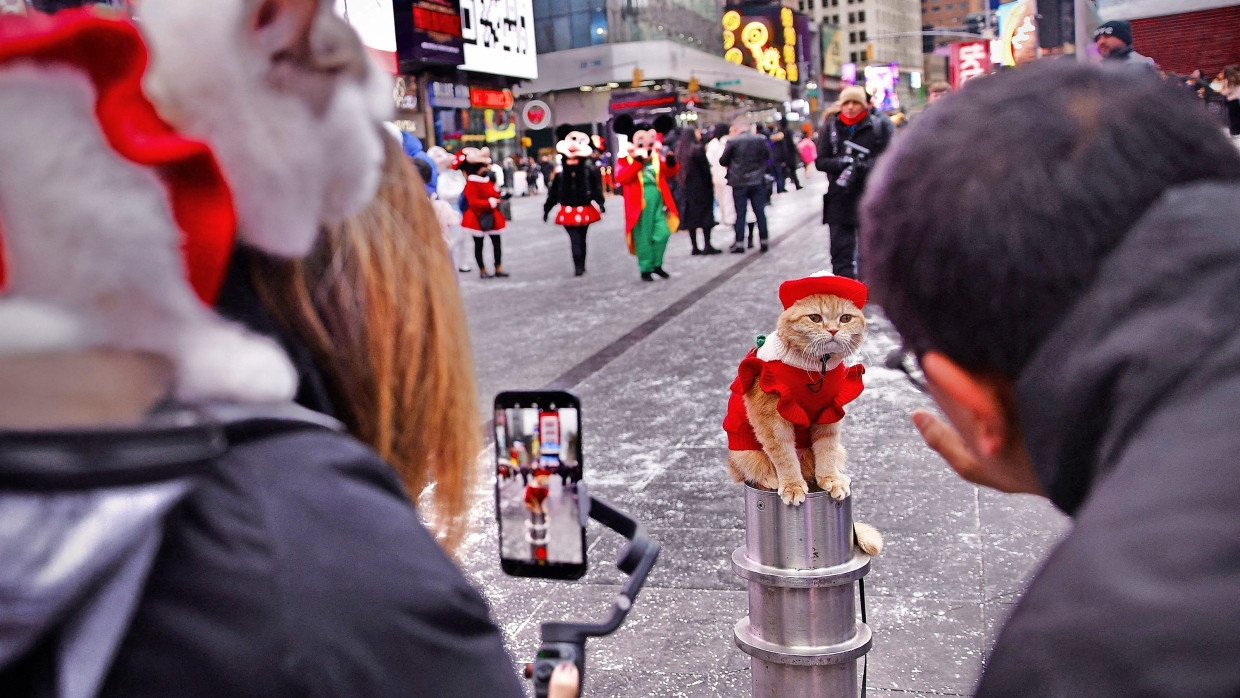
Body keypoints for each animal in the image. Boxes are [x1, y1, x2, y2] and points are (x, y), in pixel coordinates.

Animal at [724, 272, 887, 557]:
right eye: (815, 318)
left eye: (845, 318)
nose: (833, 330)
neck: (816, 366)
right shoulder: (772, 418)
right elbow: (784, 456)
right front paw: (791, 485)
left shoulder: (830, 414)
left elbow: (826, 450)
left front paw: (830, 478)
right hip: (744, 453)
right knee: (754, 469)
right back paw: (771, 477)